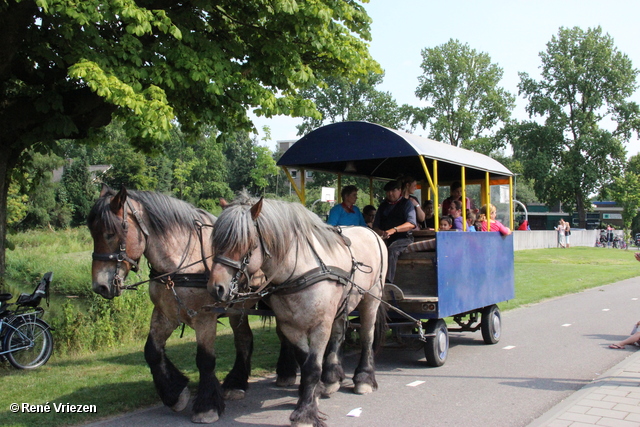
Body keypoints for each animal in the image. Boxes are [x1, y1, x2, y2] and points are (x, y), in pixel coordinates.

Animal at [87, 187, 298, 424]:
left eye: (110, 233)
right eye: (93, 233)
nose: (100, 286)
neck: (182, 262)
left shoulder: (204, 318)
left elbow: (205, 360)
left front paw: (206, 406)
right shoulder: (165, 314)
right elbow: (152, 351)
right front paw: (175, 393)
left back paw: (286, 372)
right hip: (239, 308)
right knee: (245, 339)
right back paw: (238, 383)